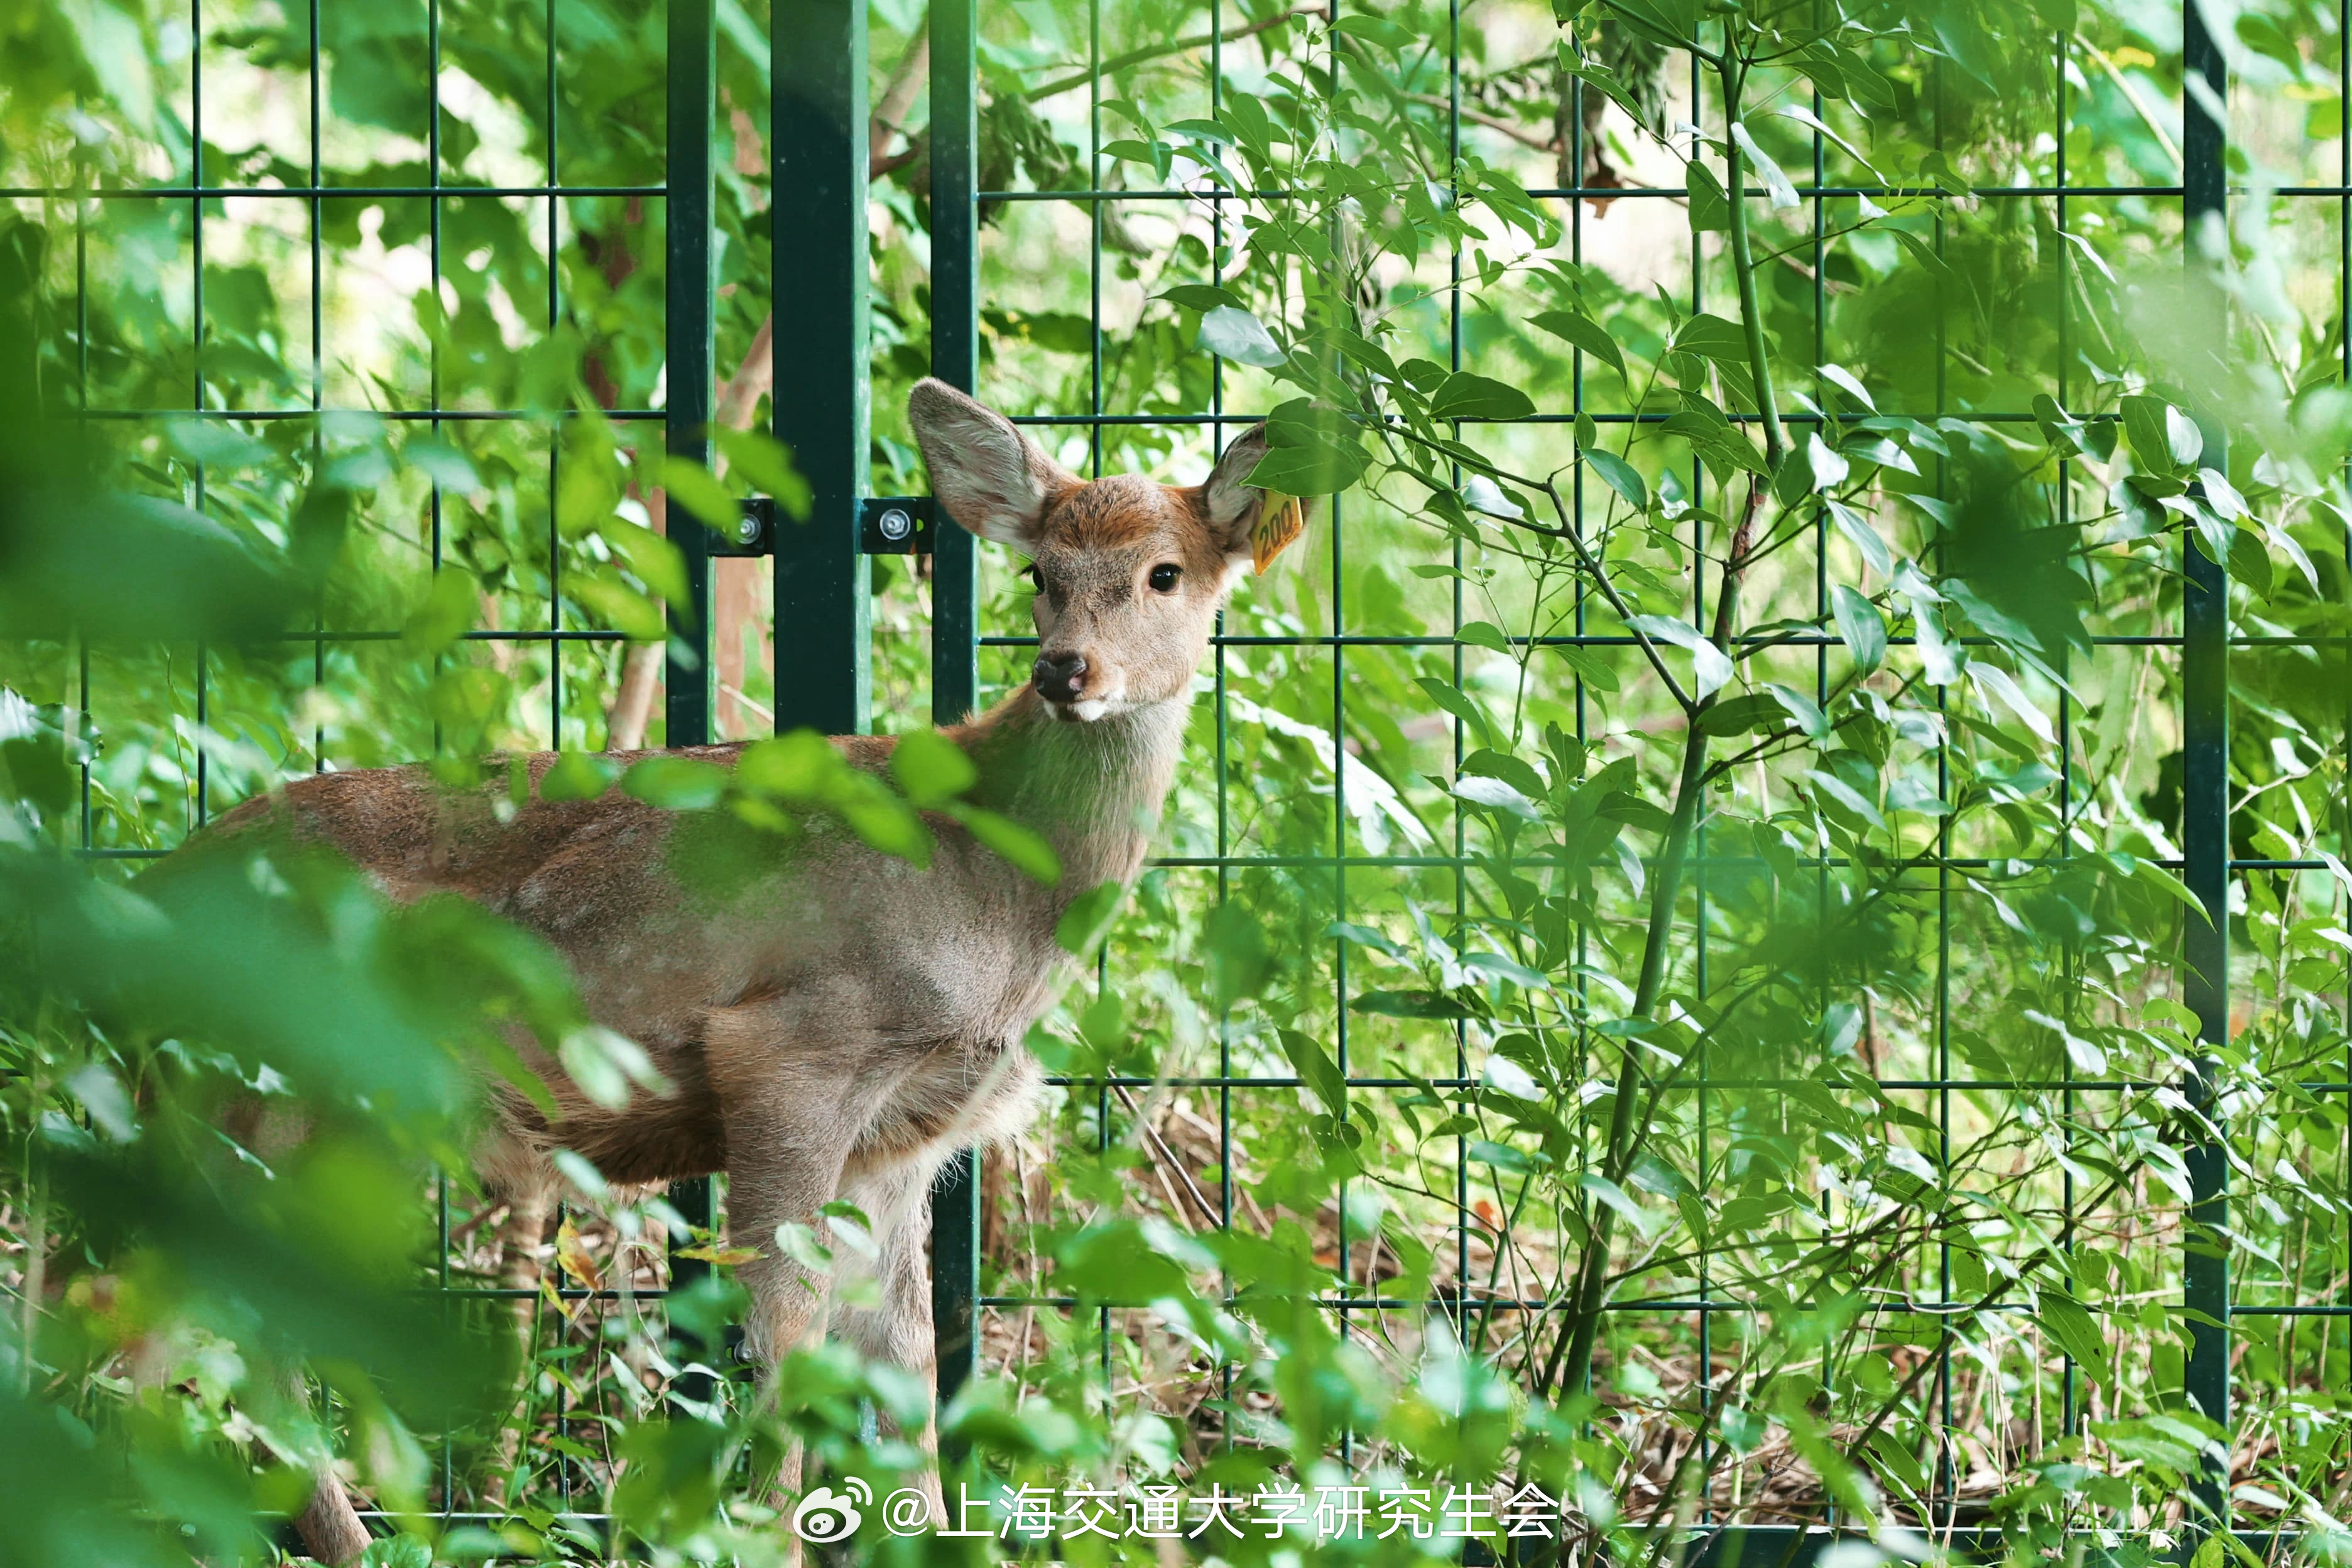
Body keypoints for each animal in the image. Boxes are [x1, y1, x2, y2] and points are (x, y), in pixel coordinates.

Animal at [200, 383, 1307, 1568]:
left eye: (1165, 573)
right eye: (1039, 576)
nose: (1066, 670)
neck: (997, 890)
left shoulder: (905, 1138)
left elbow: (905, 1362)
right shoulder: (794, 1048)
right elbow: (787, 1328)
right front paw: (769, 1532)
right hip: (263, 1093)